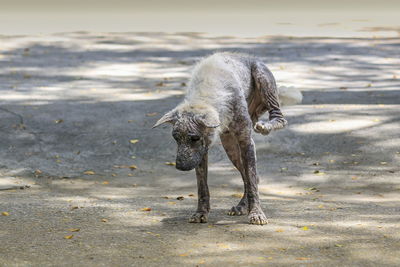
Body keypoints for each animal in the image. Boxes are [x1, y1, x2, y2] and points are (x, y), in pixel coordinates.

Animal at [152, 52, 300, 226]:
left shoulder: (246, 142)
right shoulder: (202, 153)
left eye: (194, 138)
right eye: (176, 138)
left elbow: (252, 182)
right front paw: (201, 213)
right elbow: (203, 187)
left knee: (279, 119)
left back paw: (266, 126)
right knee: (249, 178)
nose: (180, 167)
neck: (204, 95)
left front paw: (256, 213)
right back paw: (242, 206)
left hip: (262, 79)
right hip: (231, 148)